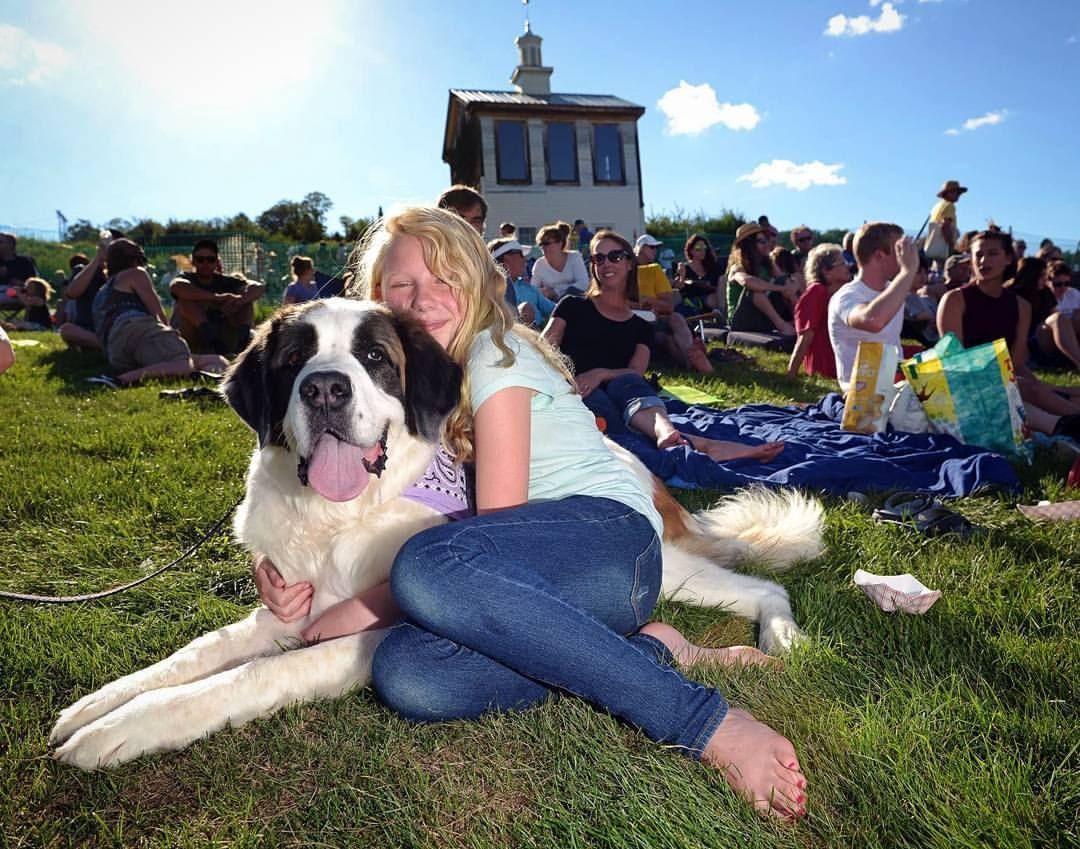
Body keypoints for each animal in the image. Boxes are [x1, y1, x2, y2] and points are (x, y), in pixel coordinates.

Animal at [50, 295, 820, 769]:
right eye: (295, 357)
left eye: (374, 358)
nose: (324, 388)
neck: (342, 516)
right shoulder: (289, 604)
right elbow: (198, 652)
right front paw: (98, 706)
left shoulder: (372, 627)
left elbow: (256, 672)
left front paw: (125, 729)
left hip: (659, 563)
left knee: (760, 587)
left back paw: (777, 640)